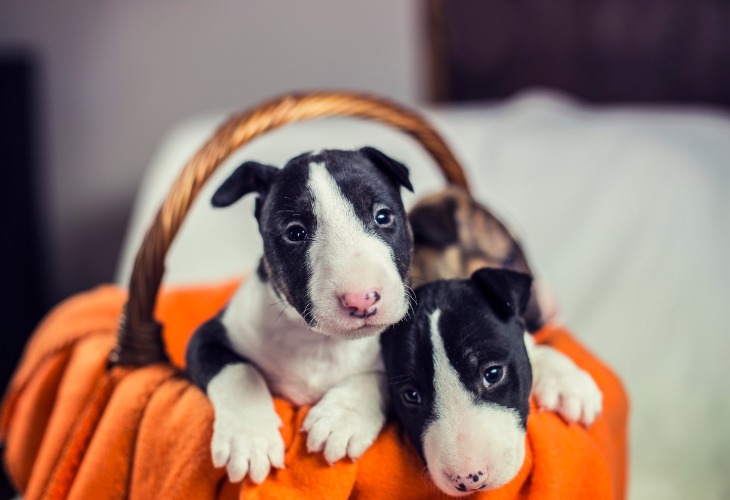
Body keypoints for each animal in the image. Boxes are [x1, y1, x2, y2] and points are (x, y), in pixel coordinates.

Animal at [185, 148, 412, 484]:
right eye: (295, 233)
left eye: (382, 216)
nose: (361, 299)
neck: (320, 341)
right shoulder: (207, 336)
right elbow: (240, 371)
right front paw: (249, 440)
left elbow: (383, 376)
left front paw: (341, 419)